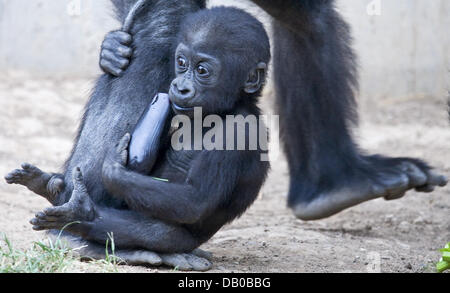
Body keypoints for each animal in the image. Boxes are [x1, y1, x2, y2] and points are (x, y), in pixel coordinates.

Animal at [24, 6, 270, 266]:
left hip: (179, 239)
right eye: (181, 63)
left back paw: (81, 215)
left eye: (202, 70)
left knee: (154, 232)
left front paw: (114, 168)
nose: (180, 87)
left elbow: (195, 200)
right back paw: (51, 188)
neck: (230, 106)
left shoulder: (239, 132)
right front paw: (111, 50)